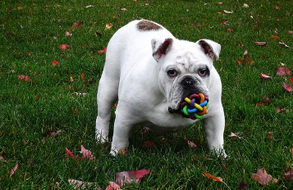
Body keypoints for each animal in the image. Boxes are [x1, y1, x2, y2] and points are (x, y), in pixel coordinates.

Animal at [94, 19, 225, 157]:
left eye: (203, 71)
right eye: (171, 72)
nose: (188, 80)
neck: (165, 100)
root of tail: (138, 21)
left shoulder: (215, 114)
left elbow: (216, 137)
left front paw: (219, 156)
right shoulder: (124, 116)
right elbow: (120, 139)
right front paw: (117, 154)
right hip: (108, 85)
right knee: (103, 115)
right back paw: (101, 138)